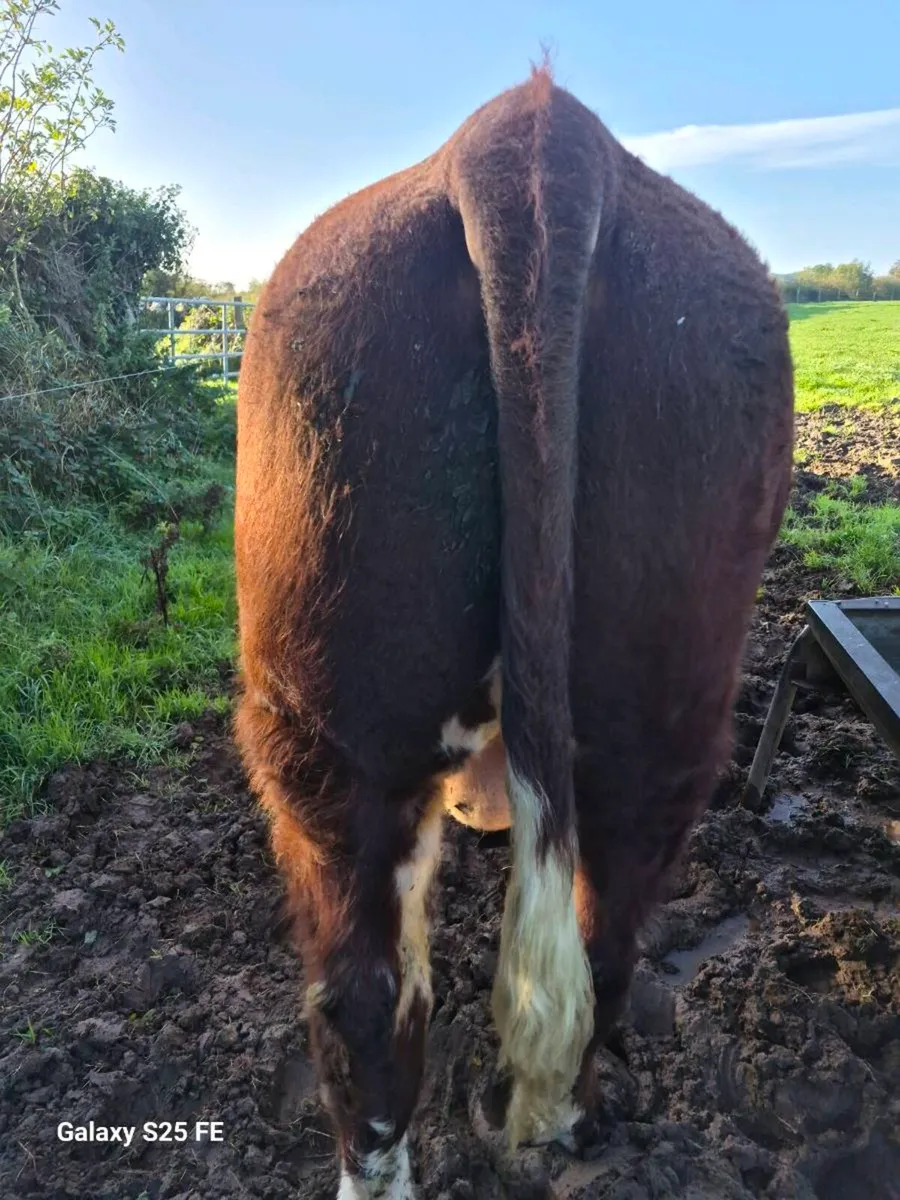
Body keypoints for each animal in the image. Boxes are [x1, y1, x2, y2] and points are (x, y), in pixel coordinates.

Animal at [233, 65, 793, 1199]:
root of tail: (529, 136)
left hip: (318, 725)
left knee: (371, 993)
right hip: (655, 705)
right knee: (592, 944)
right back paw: (559, 1121)